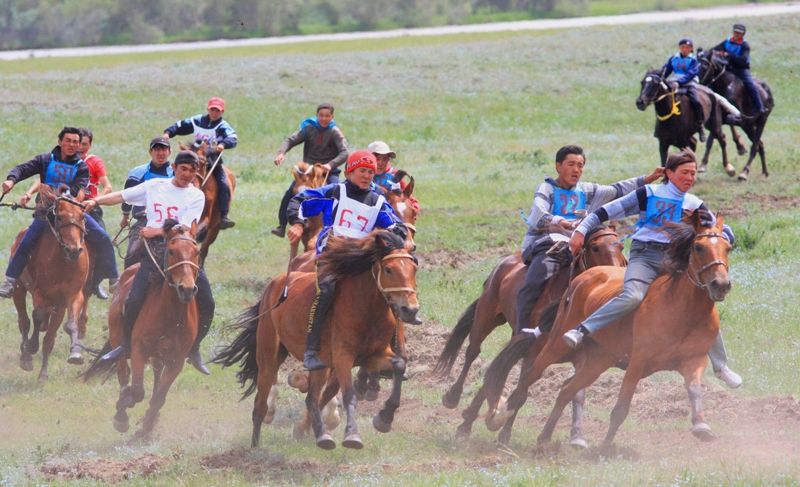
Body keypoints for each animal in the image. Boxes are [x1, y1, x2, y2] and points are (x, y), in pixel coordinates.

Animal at [9, 186, 90, 382]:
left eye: (82, 216)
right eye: (59, 217)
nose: (74, 250)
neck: (63, 262)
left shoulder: (72, 297)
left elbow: (68, 326)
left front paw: (75, 353)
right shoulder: (41, 293)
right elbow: (37, 316)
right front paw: (31, 346)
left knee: (48, 334)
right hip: (19, 289)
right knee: (24, 321)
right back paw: (26, 356)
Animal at [81, 221, 202, 438]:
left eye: (197, 251)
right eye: (171, 251)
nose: (187, 289)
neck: (170, 314)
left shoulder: (176, 360)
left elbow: (160, 397)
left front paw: (148, 425)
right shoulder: (139, 350)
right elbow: (137, 391)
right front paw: (125, 409)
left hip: (159, 355)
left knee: (155, 377)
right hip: (118, 337)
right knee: (123, 372)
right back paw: (122, 409)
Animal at [216, 231, 422, 452]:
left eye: (414, 269)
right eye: (389, 269)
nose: (410, 309)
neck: (366, 308)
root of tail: (275, 284)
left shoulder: (372, 356)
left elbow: (399, 365)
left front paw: (384, 418)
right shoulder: (343, 357)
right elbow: (348, 395)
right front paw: (352, 435)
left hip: (320, 365)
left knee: (312, 398)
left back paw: (322, 435)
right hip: (268, 355)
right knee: (261, 404)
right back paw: (255, 447)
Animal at [484, 212, 728, 452]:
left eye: (728, 247)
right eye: (698, 247)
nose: (721, 284)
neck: (682, 310)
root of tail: (581, 279)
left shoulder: (694, 361)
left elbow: (695, 391)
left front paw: (701, 426)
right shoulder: (637, 363)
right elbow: (620, 409)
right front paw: (605, 448)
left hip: (599, 359)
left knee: (567, 390)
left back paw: (543, 439)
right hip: (556, 343)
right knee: (530, 375)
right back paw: (499, 416)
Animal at [696, 49, 772, 181]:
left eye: (705, 65)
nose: (697, 81)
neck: (726, 85)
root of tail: (767, 91)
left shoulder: (737, 117)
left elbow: (729, 126)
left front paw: (740, 147)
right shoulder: (718, 117)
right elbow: (711, 139)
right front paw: (703, 165)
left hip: (761, 121)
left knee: (755, 146)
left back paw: (744, 172)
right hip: (749, 126)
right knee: (760, 145)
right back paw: (764, 172)